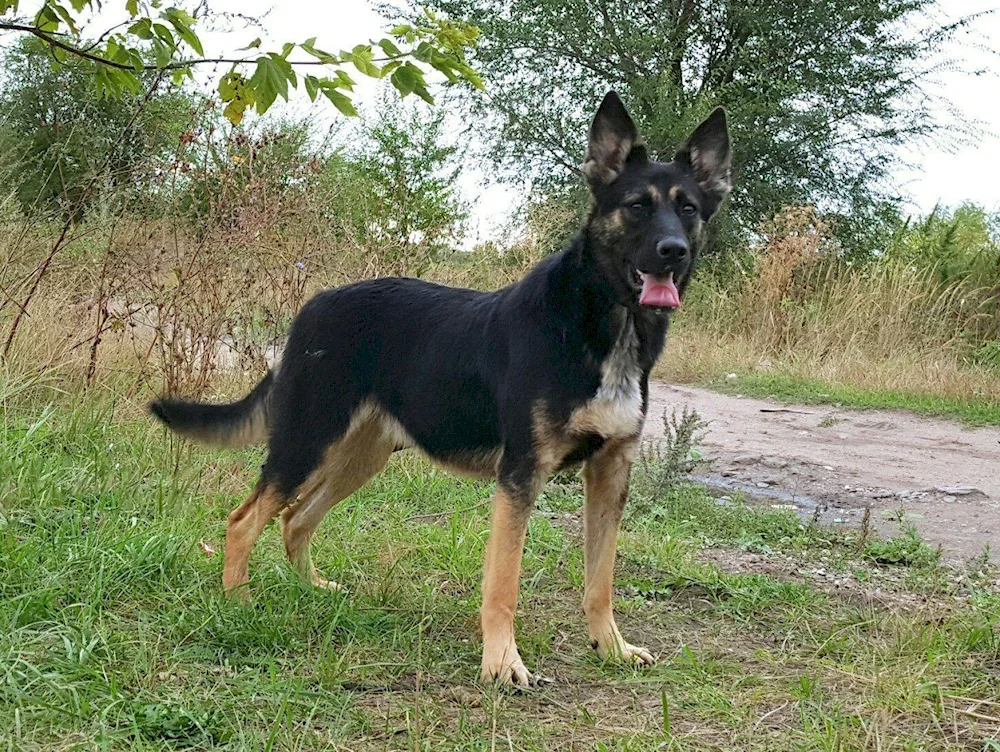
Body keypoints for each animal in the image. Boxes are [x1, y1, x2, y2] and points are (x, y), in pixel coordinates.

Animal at [148, 91, 732, 684]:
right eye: (636, 205)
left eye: (688, 208)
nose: (673, 251)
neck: (607, 326)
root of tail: (312, 308)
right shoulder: (520, 477)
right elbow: (503, 584)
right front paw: (502, 662)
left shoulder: (610, 473)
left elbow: (601, 580)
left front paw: (611, 647)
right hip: (307, 442)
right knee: (244, 520)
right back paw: (238, 603)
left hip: (360, 457)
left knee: (295, 519)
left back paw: (310, 591)